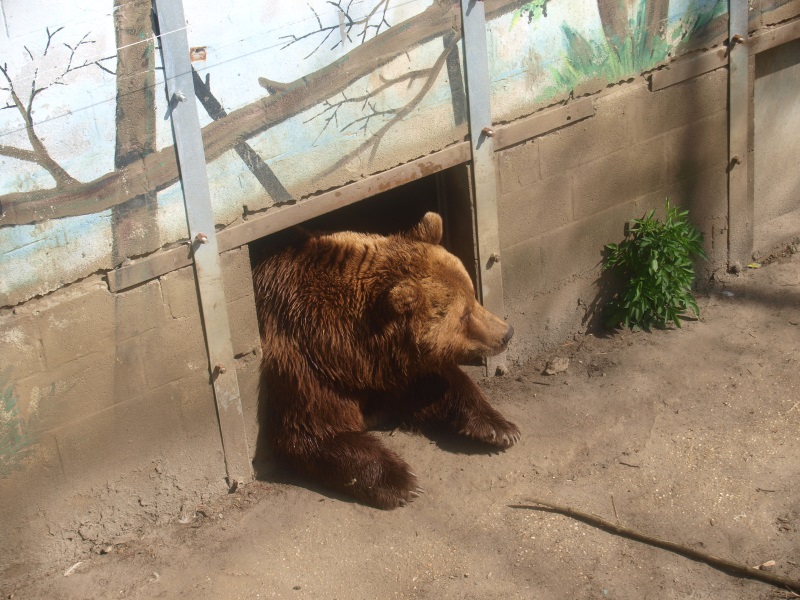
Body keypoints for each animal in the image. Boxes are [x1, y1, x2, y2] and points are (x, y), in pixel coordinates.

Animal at [252, 212, 519, 509]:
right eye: (464, 315)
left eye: (472, 295)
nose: (506, 333)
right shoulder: (303, 361)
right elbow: (313, 431)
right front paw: (400, 481)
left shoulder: (390, 365)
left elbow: (438, 384)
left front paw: (500, 428)